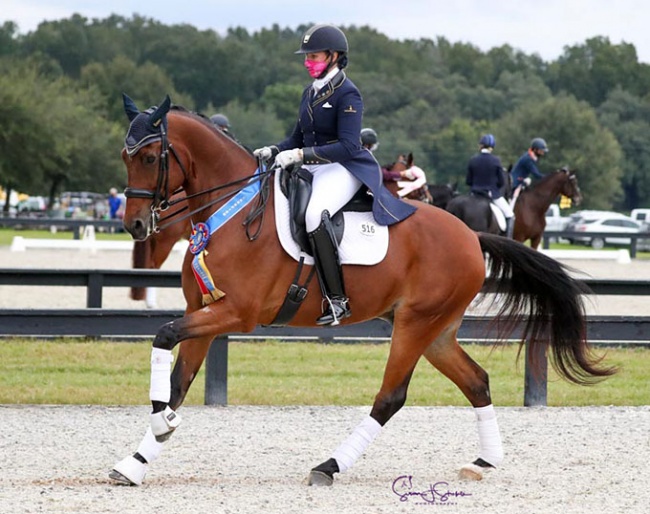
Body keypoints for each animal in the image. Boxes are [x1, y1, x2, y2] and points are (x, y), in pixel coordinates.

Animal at [111, 94, 612, 486]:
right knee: (475, 381)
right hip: (435, 330)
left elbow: (164, 338)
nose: (134, 225)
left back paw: (329, 466)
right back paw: (485, 461)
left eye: (151, 158)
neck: (230, 213)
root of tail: (471, 236)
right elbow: (178, 380)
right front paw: (140, 456)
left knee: (390, 397)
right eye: (125, 156)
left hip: (415, 324)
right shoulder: (206, 310)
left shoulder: (239, 313)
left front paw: (160, 422)